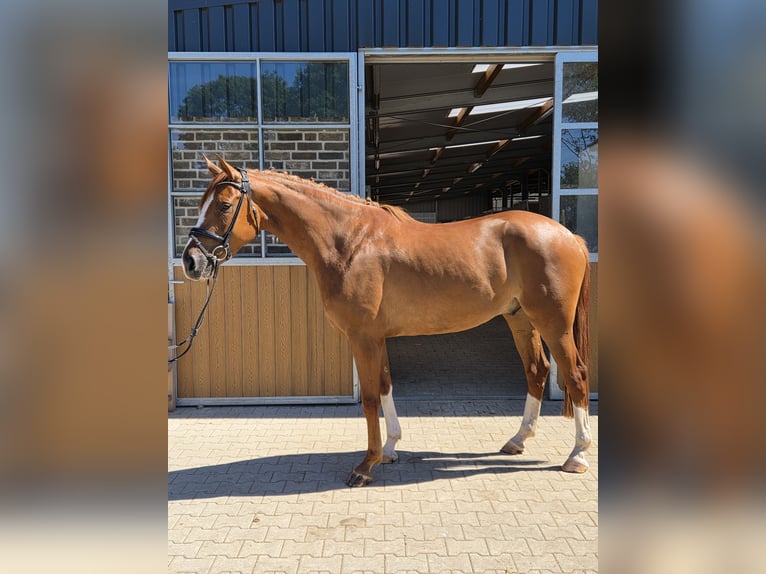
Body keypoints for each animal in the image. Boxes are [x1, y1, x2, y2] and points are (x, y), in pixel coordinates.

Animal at [181, 156, 592, 487]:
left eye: (223, 205)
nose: (191, 262)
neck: (350, 243)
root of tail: (569, 234)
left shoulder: (362, 337)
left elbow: (368, 398)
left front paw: (366, 466)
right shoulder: (376, 338)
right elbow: (384, 387)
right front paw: (391, 448)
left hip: (553, 323)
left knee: (574, 376)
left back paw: (577, 455)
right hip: (520, 318)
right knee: (537, 371)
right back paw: (518, 440)